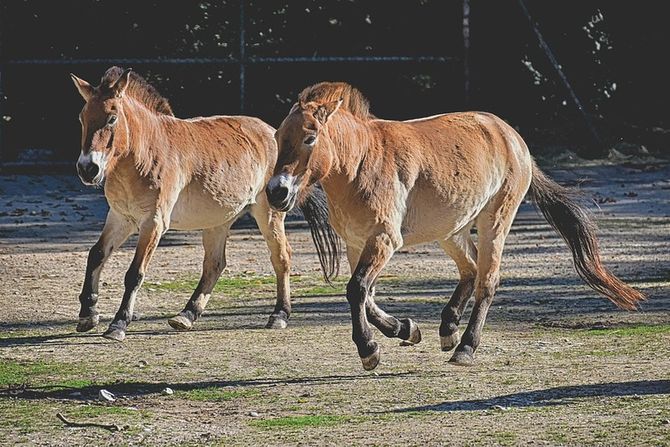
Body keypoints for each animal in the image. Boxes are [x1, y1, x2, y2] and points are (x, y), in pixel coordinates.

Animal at [69, 65, 330, 340]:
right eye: (82, 117)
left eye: (112, 118)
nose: (87, 168)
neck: (144, 153)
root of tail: (273, 133)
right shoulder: (121, 218)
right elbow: (96, 254)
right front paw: (88, 314)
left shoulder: (153, 223)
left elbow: (135, 273)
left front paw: (118, 324)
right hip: (219, 220)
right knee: (215, 264)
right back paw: (186, 315)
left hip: (268, 213)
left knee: (281, 257)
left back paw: (279, 315)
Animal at [266, 81, 644, 372]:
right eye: (279, 136)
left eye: (310, 137)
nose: (276, 191)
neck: (360, 163)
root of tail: (513, 139)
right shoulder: (357, 243)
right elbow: (365, 295)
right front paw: (406, 329)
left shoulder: (384, 240)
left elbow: (357, 290)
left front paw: (369, 350)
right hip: (451, 230)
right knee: (471, 269)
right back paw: (448, 328)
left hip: (494, 221)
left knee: (487, 280)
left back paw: (465, 347)